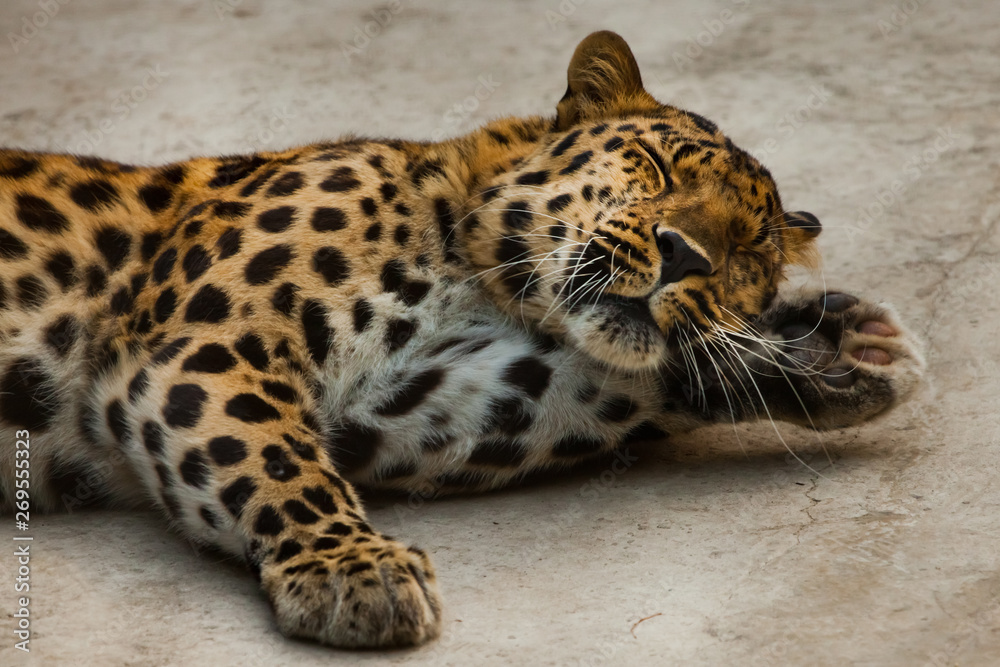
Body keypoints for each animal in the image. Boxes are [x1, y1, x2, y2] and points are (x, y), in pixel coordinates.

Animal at [0, 31, 924, 648]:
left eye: (746, 252)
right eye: (658, 168)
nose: (685, 255)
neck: (479, 278)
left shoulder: (405, 406)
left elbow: (591, 385)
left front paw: (827, 351)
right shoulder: (203, 344)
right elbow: (271, 455)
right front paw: (353, 569)